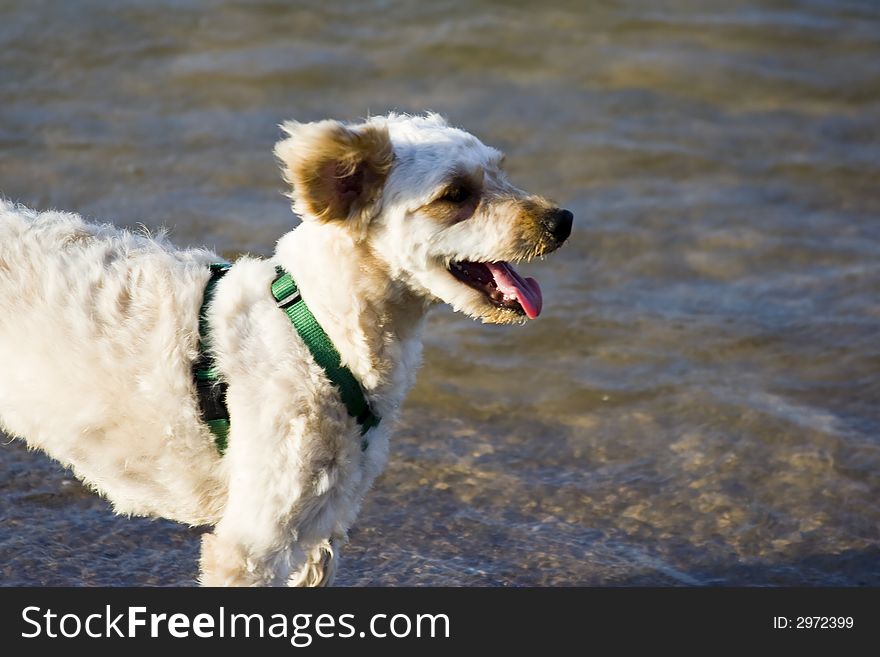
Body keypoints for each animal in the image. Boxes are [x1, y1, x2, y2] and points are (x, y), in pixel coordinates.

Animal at [0, 113, 576, 584]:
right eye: (456, 194)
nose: (564, 221)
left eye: (500, 171)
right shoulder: (250, 545)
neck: (320, 334)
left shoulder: (323, 530)